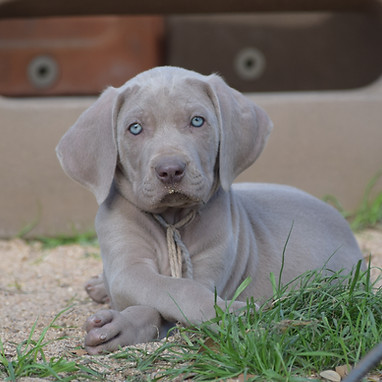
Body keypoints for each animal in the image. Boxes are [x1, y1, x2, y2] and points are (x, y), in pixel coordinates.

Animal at [56, 66, 364, 356]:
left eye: (197, 121)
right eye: (135, 128)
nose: (170, 170)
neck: (172, 220)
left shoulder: (209, 269)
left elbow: (179, 295)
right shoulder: (126, 269)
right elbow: (174, 289)